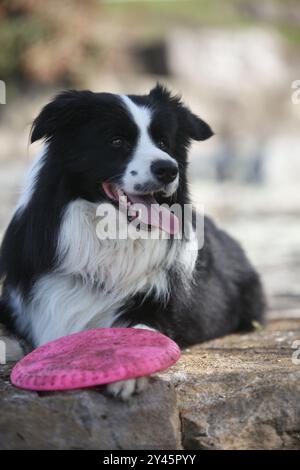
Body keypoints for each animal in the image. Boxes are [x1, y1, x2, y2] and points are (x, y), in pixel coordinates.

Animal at [0, 85, 264, 400]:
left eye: (163, 142)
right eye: (117, 141)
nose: (168, 169)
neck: (108, 238)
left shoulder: (157, 306)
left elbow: (141, 334)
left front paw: (128, 375)